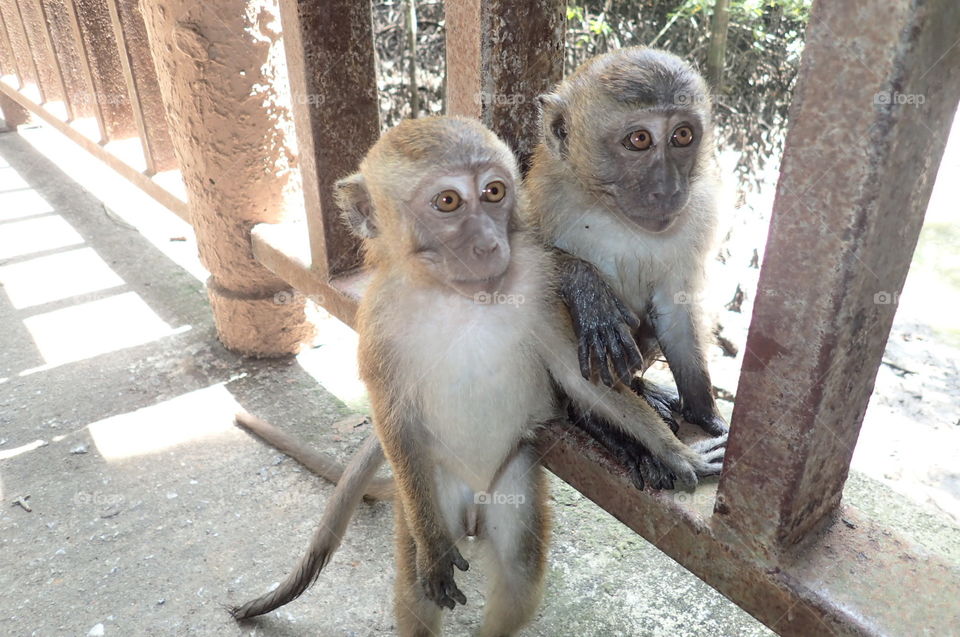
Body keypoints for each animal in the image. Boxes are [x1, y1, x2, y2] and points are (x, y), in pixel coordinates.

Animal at [230, 116, 726, 633]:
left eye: (493, 192)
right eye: (448, 201)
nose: (489, 243)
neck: (462, 296)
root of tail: (471, 507)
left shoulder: (539, 292)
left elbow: (578, 378)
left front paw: (675, 453)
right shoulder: (378, 325)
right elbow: (394, 420)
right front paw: (433, 555)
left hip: (511, 483)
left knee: (518, 573)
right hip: (433, 487)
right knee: (417, 588)